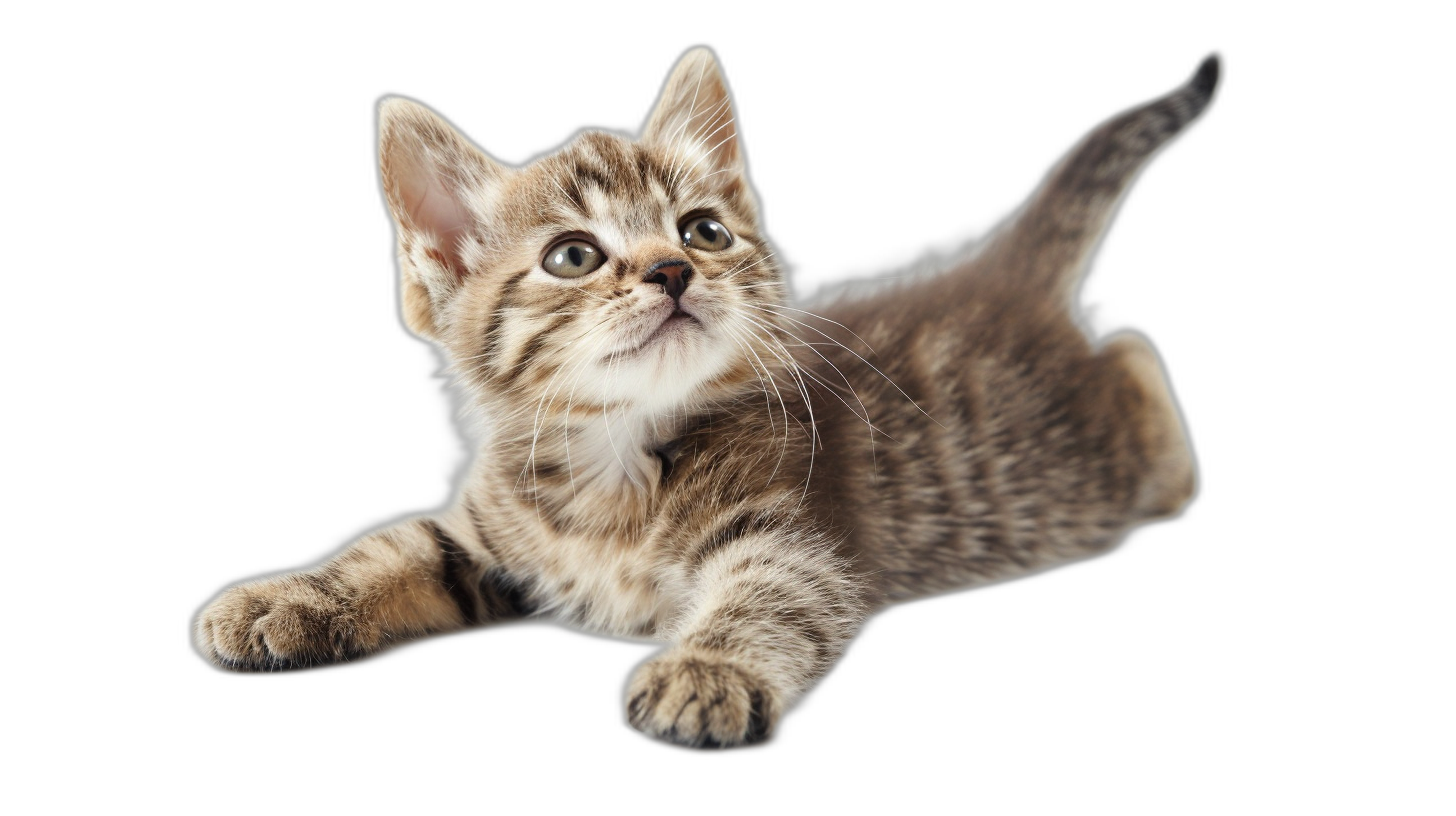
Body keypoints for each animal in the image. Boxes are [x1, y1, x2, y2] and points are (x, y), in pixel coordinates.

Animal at [193, 46, 1217, 751]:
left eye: (705, 230)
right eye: (575, 254)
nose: (674, 268)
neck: (613, 463)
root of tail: (997, 278)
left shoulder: (794, 534)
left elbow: (769, 598)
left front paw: (706, 672)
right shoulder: (487, 532)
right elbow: (393, 547)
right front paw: (281, 598)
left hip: (1098, 456)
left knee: (1136, 361)